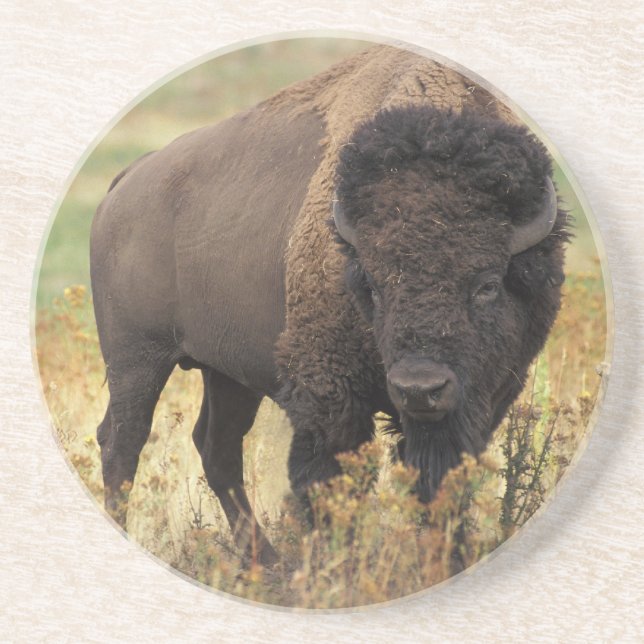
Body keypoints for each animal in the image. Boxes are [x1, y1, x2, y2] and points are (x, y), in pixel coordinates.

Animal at [90, 45, 567, 565]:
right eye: (373, 286)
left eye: (487, 285)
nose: (419, 388)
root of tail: (126, 182)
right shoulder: (329, 394)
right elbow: (329, 483)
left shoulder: (485, 398)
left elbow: (442, 483)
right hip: (136, 360)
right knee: (123, 442)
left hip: (227, 372)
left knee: (217, 447)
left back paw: (267, 563)